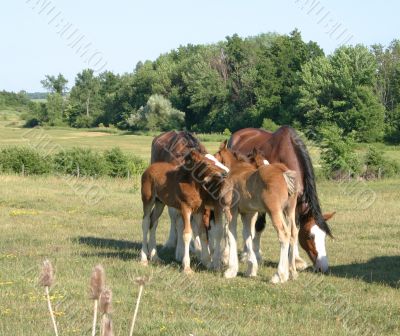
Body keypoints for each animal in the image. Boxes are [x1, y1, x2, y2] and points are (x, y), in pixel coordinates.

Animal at [217, 143, 298, 282]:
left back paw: (279, 275)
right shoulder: (247, 214)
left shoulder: (230, 210)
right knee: (293, 232)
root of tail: (283, 172)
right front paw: (251, 268)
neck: (236, 169)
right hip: (289, 210)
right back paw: (292, 272)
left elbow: (231, 234)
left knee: (284, 234)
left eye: (216, 156)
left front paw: (230, 270)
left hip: (274, 211)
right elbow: (247, 235)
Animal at [228, 126, 334, 272]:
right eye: (309, 236)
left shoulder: (295, 204)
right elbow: (260, 226)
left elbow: (293, 229)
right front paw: (257, 256)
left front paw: (295, 260)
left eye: (324, 236)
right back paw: (247, 254)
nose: (323, 267)